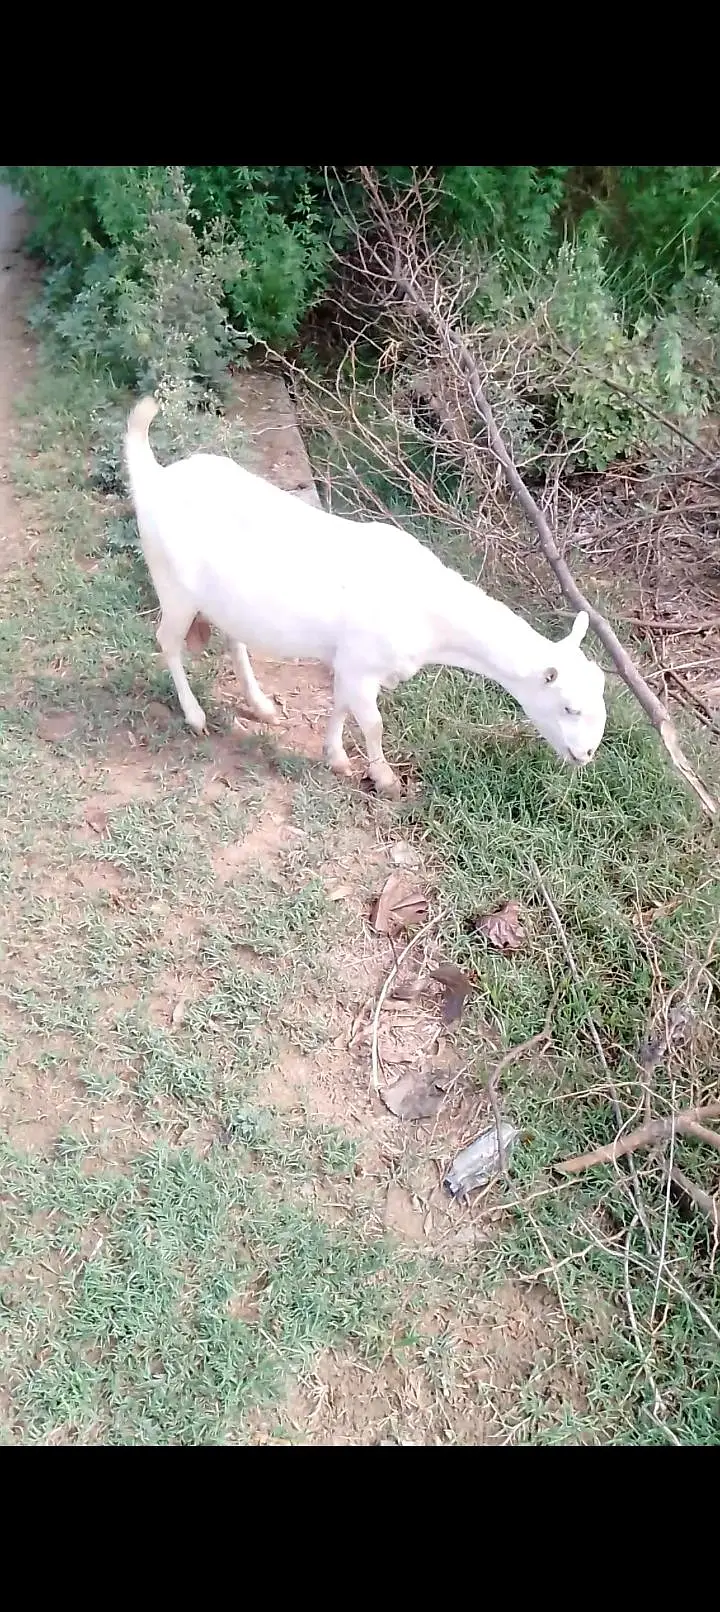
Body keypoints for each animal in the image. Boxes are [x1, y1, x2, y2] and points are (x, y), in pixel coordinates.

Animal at [125, 397, 607, 796]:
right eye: (568, 707)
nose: (586, 756)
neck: (429, 613)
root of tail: (155, 478)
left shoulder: (349, 663)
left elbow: (340, 706)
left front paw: (335, 757)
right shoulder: (362, 665)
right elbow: (372, 723)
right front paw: (384, 778)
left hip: (223, 599)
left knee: (233, 640)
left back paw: (260, 705)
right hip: (173, 586)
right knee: (167, 641)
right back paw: (195, 716)